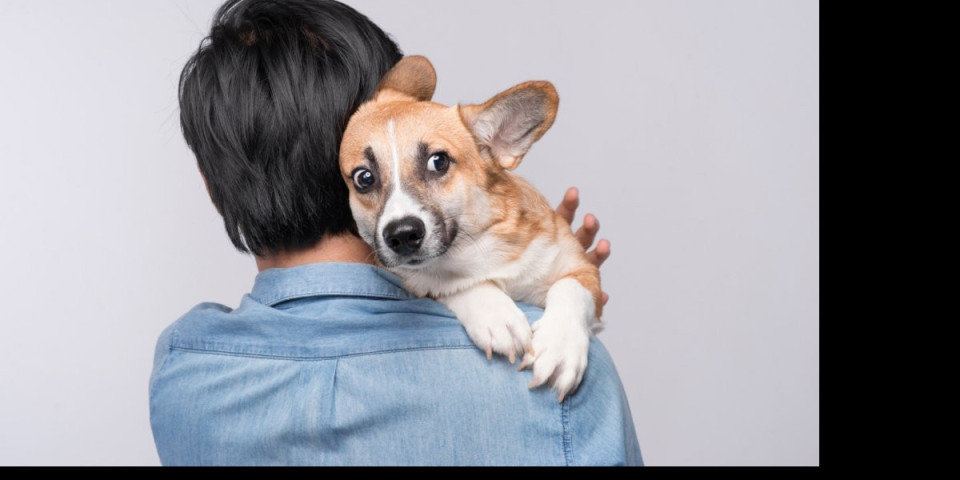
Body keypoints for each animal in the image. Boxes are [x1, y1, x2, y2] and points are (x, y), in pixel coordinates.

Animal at [339, 56, 602, 401]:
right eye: (364, 178)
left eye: (438, 161)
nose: (402, 235)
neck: (478, 249)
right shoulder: (418, 280)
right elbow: (450, 285)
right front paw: (496, 315)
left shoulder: (582, 270)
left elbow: (570, 289)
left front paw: (561, 346)